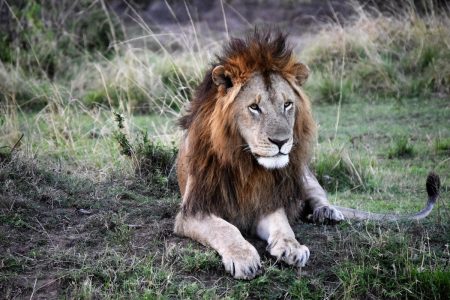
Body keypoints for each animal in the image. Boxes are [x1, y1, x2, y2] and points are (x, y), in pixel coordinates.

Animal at [174, 30, 442, 278]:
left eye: (287, 104)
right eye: (254, 107)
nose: (281, 141)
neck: (246, 164)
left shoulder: (268, 200)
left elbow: (282, 224)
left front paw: (291, 247)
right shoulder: (192, 211)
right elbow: (225, 229)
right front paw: (244, 258)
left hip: (301, 172)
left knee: (318, 195)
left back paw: (326, 213)